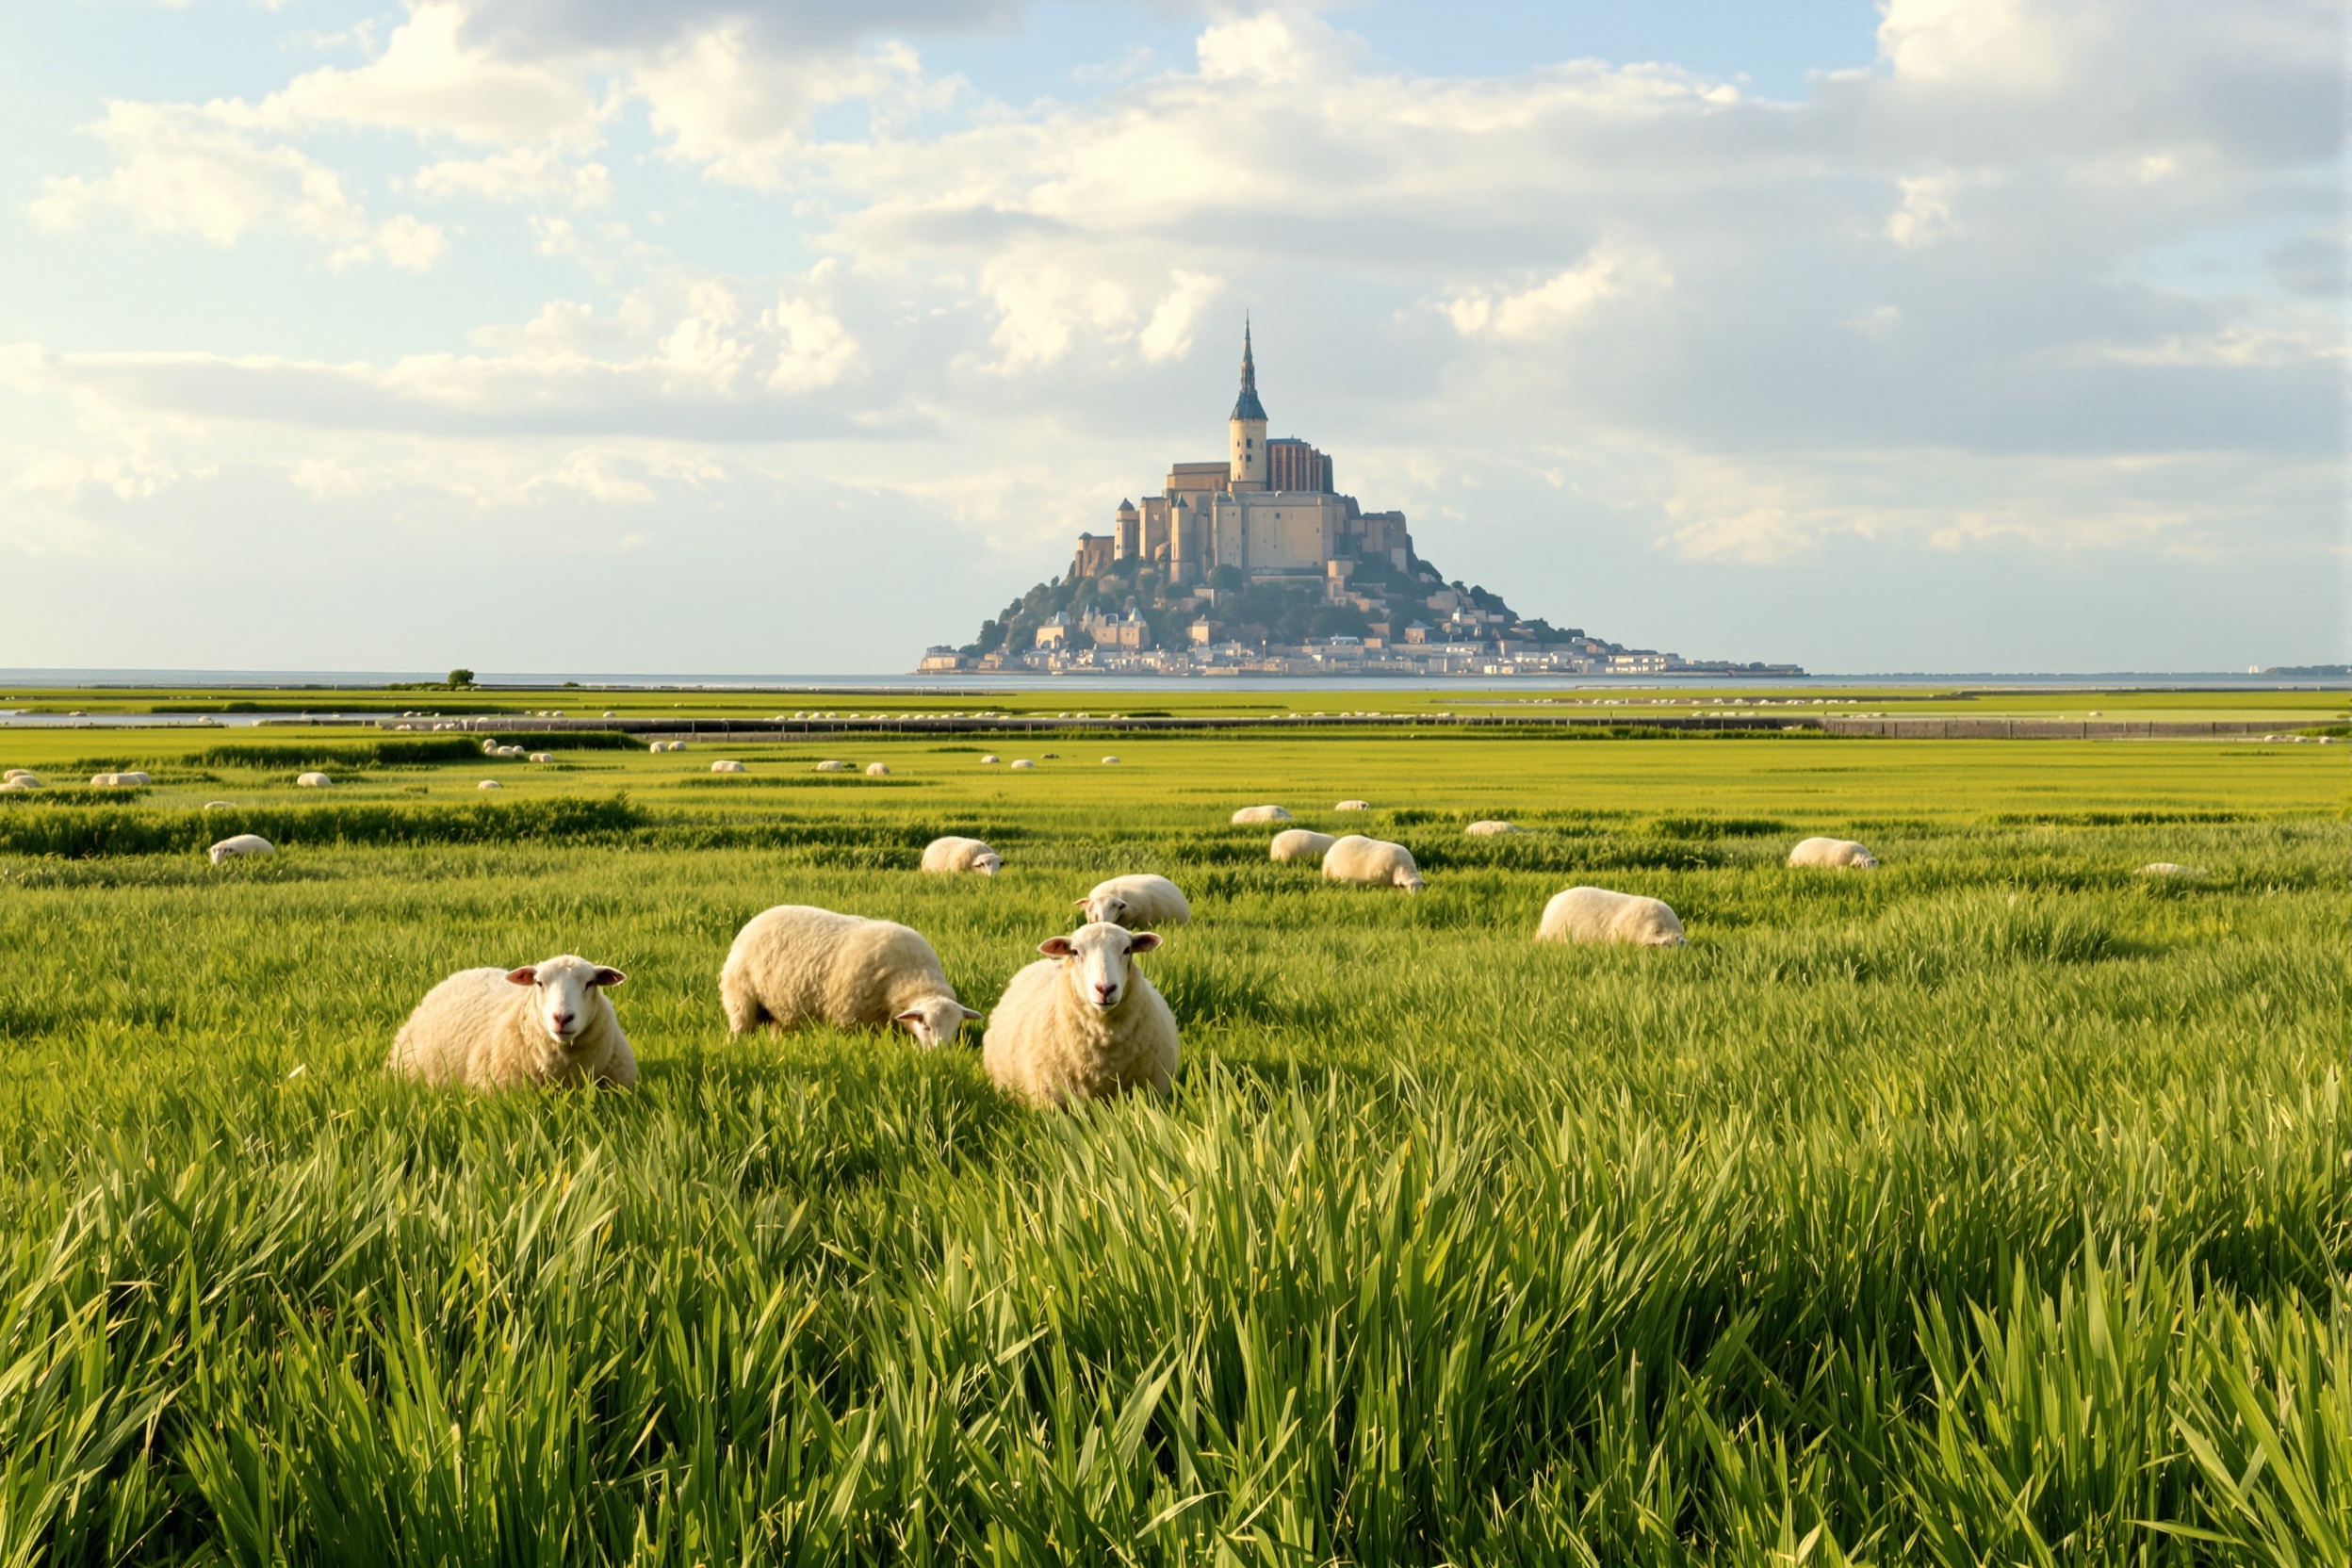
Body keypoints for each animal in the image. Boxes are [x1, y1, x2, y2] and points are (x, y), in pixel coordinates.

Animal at [719, 904, 980, 1049]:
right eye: (925, 1025)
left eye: (957, 1027)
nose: (940, 1055)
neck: (911, 975)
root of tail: (756, 920)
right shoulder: (847, 1019)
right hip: (742, 999)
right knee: (738, 1031)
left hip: (778, 1009)